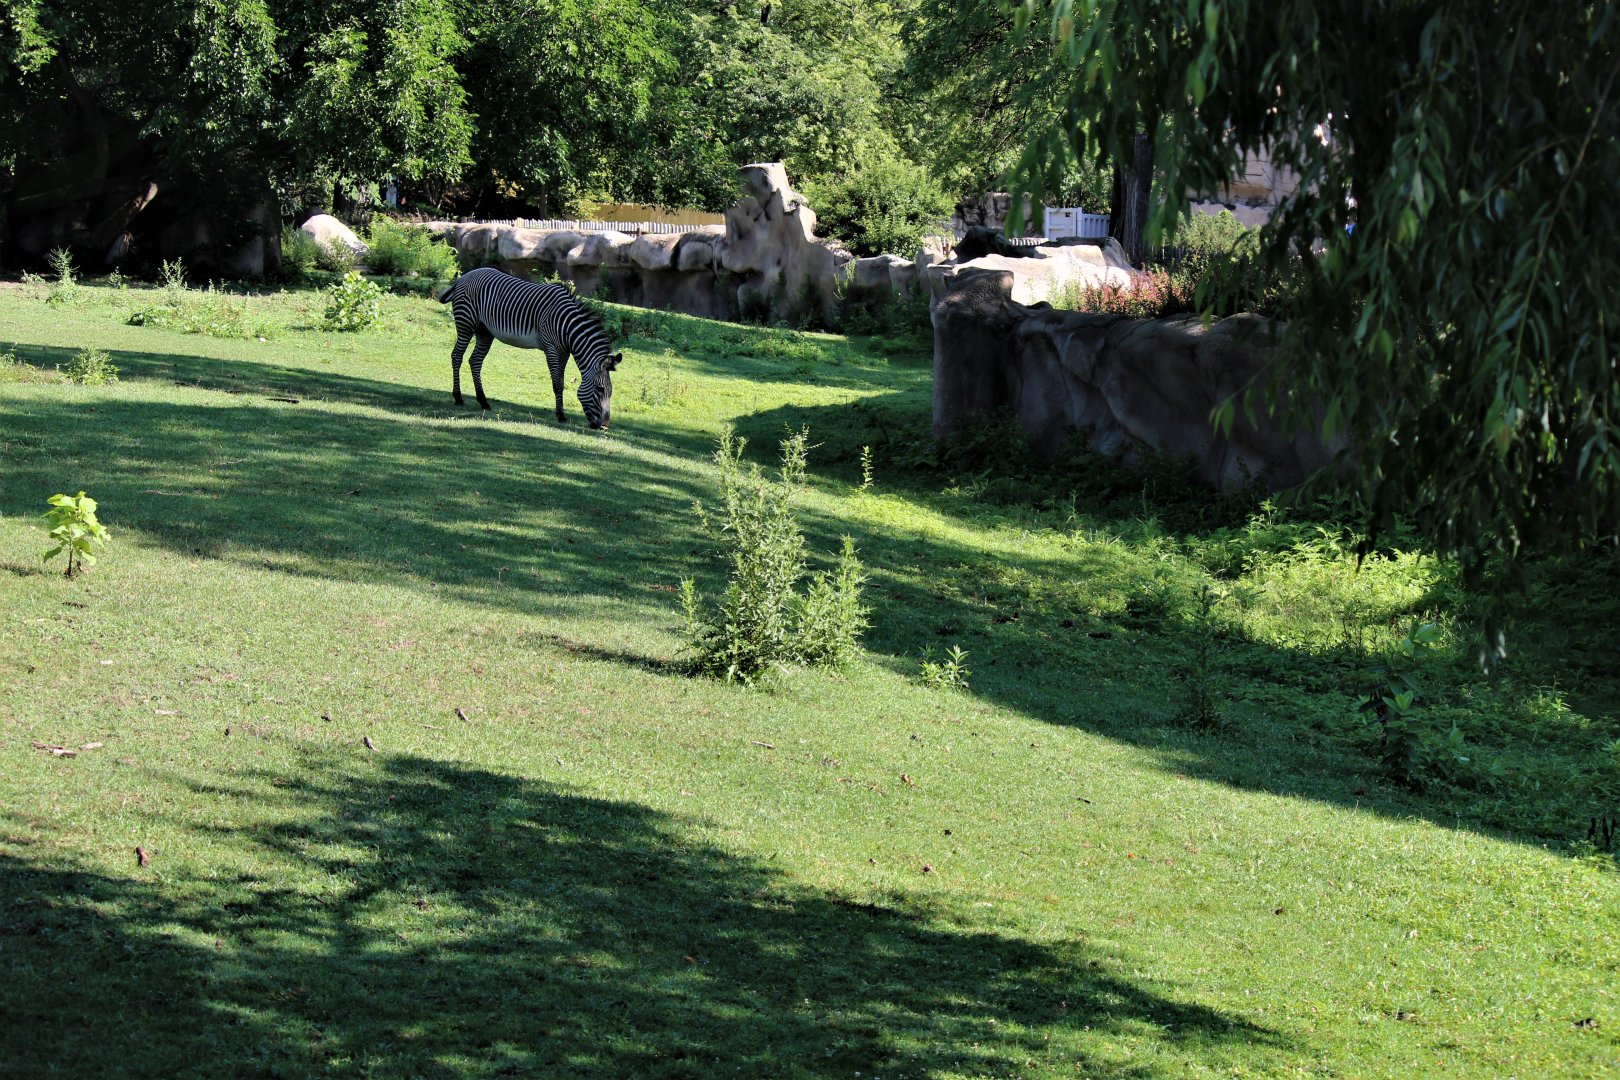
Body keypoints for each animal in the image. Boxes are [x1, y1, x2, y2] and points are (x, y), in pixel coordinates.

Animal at [437, 267, 623, 428]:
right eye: (600, 389)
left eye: (611, 391)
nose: (604, 426)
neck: (568, 326)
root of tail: (464, 276)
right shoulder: (551, 348)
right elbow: (557, 384)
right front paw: (560, 415)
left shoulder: (564, 352)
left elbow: (562, 381)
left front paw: (561, 413)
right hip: (466, 323)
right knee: (457, 356)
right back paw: (458, 397)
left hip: (485, 331)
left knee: (475, 361)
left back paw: (483, 401)